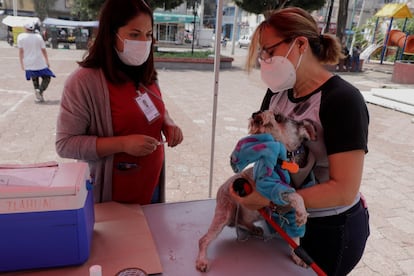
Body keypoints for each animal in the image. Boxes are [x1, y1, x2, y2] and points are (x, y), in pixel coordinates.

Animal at [196, 111, 316, 272]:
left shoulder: (290, 212)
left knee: (242, 221)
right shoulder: (270, 186)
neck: (286, 159)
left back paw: (254, 229)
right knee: (204, 239)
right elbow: (294, 194)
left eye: (278, 116)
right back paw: (202, 261)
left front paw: (298, 257)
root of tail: (220, 189)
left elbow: (295, 239)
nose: (255, 114)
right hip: (225, 213)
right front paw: (302, 213)